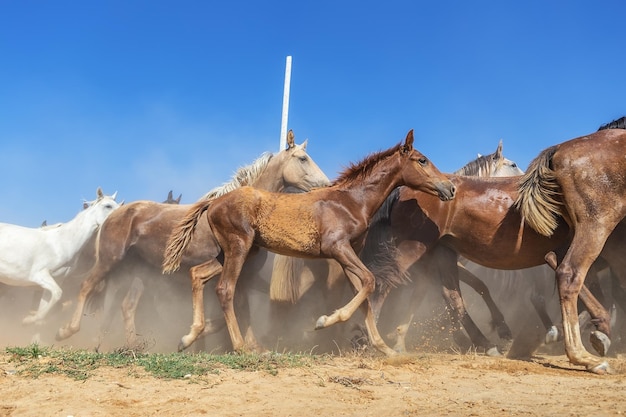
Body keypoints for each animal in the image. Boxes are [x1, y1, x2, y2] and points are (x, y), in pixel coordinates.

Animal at [0, 187, 120, 324]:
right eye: (108, 206)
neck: (62, 244)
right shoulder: (39, 275)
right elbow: (58, 294)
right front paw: (29, 319)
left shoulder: (54, 281)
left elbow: (49, 303)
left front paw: (32, 319)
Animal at [54, 131, 330, 344]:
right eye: (303, 158)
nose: (326, 185)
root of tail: (115, 213)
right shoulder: (241, 273)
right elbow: (237, 309)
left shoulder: (242, 275)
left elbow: (238, 311)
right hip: (109, 261)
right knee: (86, 287)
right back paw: (66, 331)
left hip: (135, 274)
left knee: (124, 306)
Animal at [162, 130, 454, 354]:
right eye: (422, 160)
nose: (450, 188)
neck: (350, 201)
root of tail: (214, 202)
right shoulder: (338, 249)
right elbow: (369, 281)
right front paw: (325, 321)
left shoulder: (349, 255)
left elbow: (365, 294)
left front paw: (385, 349)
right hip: (239, 248)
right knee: (225, 290)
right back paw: (241, 346)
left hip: (235, 252)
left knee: (198, 274)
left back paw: (188, 337)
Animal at [364, 128, 624, 372]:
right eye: (512, 164)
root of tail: (403, 189)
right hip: (413, 249)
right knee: (383, 283)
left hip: (438, 254)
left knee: (451, 295)